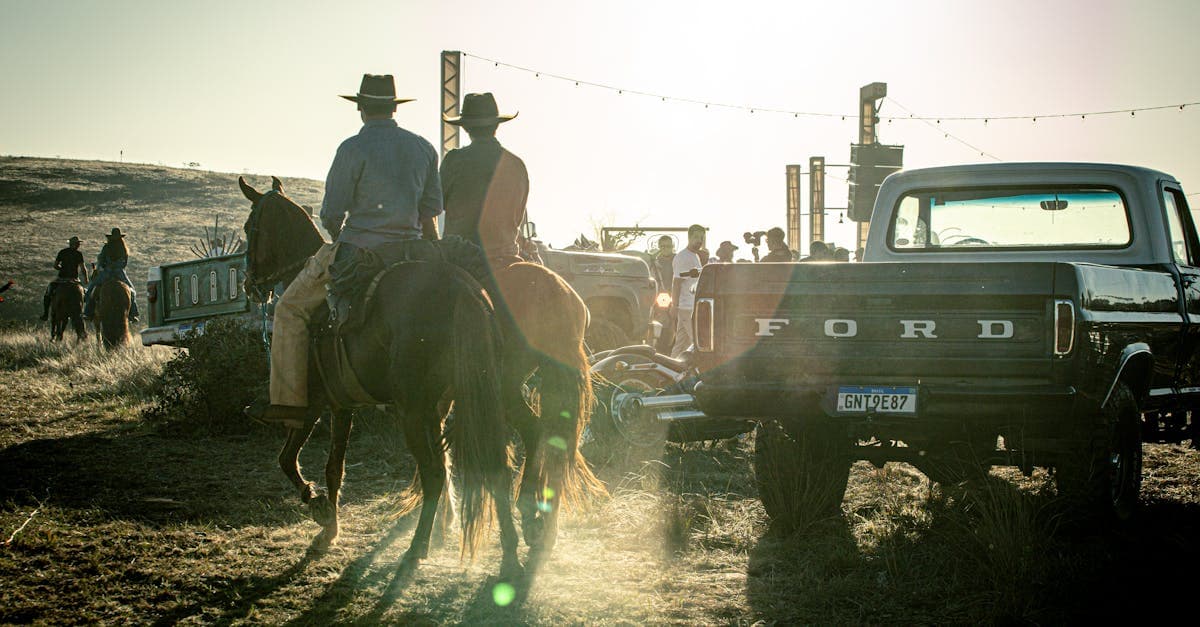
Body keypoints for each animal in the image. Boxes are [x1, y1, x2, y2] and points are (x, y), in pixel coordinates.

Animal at [240, 174, 604, 566]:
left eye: (249, 227)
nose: (250, 285)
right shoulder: (345, 404)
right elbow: (334, 467)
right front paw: (330, 526)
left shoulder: (314, 404)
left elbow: (288, 459)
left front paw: (319, 507)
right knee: (529, 441)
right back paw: (525, 528)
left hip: (450, 399)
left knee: (457, 464)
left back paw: (428, 545)